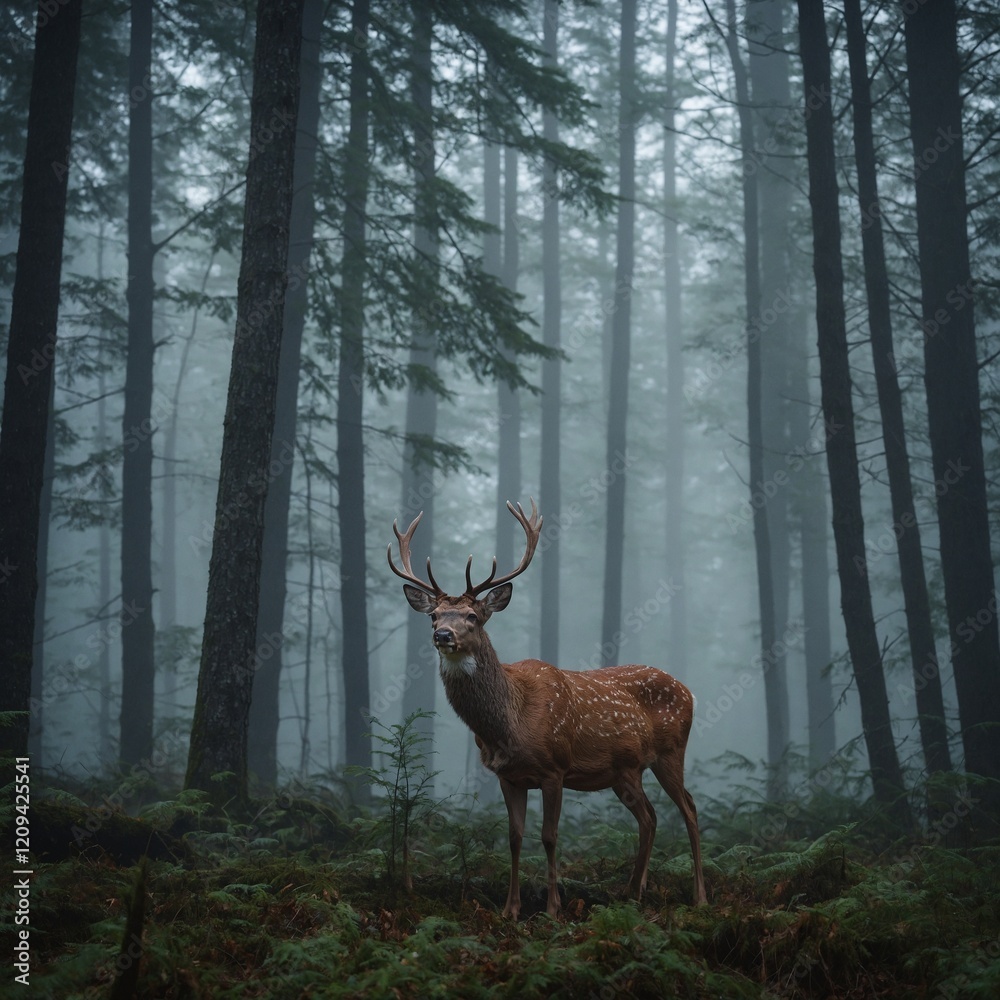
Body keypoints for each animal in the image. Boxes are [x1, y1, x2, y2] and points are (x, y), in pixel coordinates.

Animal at [387, 499, 707, 918]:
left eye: (472, 617)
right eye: (434, 616)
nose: (442, 635)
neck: (511, 725)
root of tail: (690, 692)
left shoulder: (556, 767)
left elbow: (550, 836)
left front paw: (553, 908)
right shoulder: (508, 776)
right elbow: (515, 836)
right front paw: (510, 909)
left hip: (671, 751)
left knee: (689, 808)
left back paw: (700, 896)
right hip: (625, 772)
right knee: (650, 818)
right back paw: (633, 892)